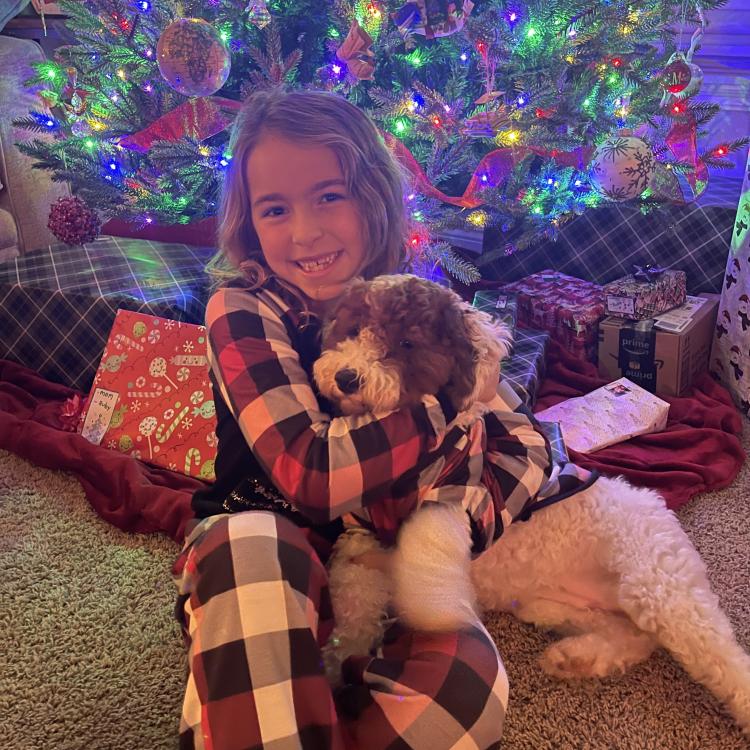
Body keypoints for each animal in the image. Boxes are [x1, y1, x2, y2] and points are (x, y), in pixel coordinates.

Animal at [312, 272, 750, 736]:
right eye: (354, 329)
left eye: (407, 343)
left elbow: (422, 556)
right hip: (560, 607)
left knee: (722, 658)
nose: (347, 377)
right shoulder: (359, 537)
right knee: (634, 637)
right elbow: (353, 602)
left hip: (661, 589)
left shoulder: (457, 503)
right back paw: (577, 657)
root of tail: (657, 507)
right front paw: (335, 666)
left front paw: (434, 611)